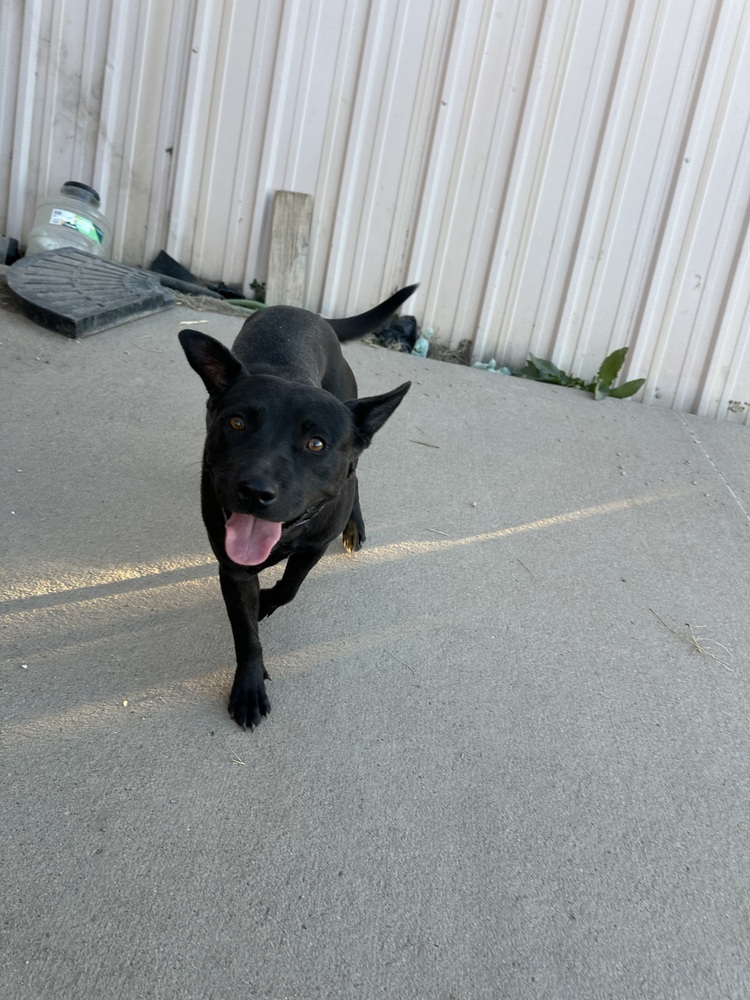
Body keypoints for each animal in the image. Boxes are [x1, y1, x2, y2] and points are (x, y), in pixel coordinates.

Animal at [180, 286, 420, 732]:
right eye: (237, 423)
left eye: (316, 443)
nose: (255, 492)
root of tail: (304, 311)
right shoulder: (233, 569)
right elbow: (246, 636)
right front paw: (249, 686)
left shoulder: (314, 546)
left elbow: (290, 588)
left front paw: (267, 603)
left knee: (356, 479)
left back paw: (355, 525)